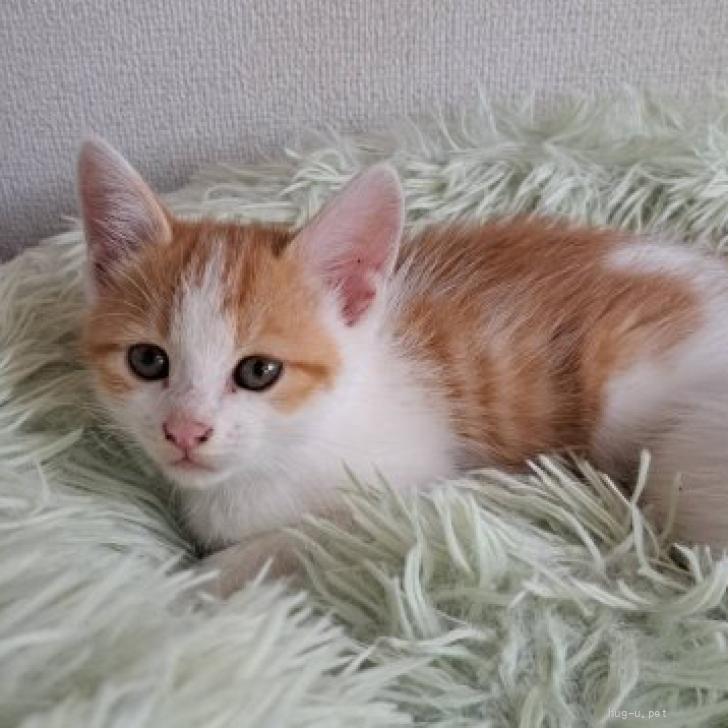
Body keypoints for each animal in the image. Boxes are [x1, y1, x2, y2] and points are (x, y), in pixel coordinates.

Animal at [78, 137, 728, 596]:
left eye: (259, 372)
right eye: (147, 360)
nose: (185, 430)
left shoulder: (415, 485)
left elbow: (313, 535)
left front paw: (187, 582)